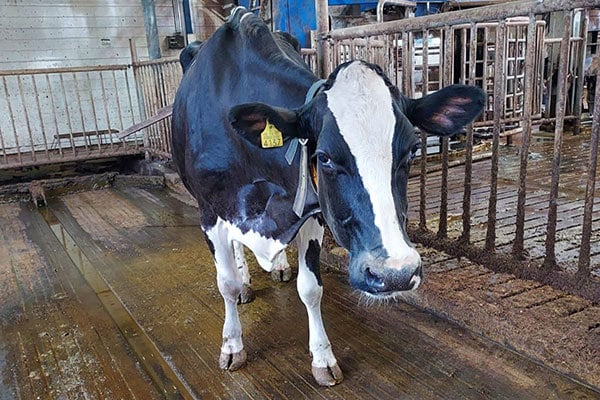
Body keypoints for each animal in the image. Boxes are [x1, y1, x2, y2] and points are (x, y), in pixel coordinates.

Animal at [171, 7, 484, 386]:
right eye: (325, 157)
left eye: (411, 151)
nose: (394, 273)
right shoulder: (210, 212)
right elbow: (226, 283)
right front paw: (232, 345)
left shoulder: (313, 213)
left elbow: (311, 288)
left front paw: (322, 357)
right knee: (236, 252)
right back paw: (248, 279)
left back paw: (279, 265)